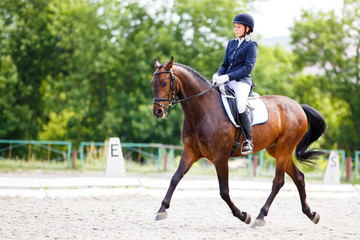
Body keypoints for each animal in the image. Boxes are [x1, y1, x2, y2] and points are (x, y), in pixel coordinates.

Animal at [150, 56, 328, 227]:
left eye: (164, 82)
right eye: (153, 83)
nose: (157, 111)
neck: (202, 110)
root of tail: (297, 106)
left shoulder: (220, 158)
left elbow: (224, 191)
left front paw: (243, 215)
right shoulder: (190, 152)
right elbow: (175, 179)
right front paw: (161, 210)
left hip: (285, 147)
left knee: (278, 181)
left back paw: (260, 217)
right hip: (276, 150)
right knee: (299, 177)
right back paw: (311, 214)